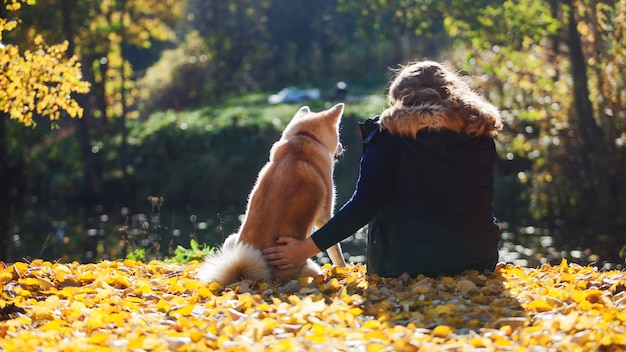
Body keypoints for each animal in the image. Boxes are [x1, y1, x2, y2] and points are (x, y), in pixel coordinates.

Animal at [196, 103, 346, 284]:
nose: (342, 147)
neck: (302, 140)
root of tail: (249, 277)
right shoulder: (324, 216)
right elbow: (336, 252)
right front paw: (345, 269)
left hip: (231, 240)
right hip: (311, 268)